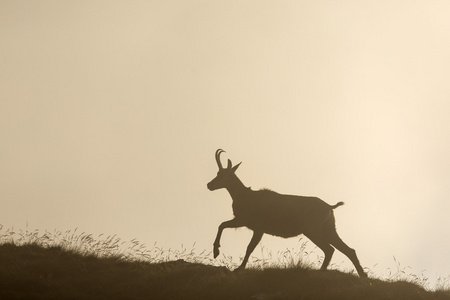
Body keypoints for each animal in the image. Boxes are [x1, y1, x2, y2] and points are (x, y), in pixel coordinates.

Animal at [206, 149, 368, 278]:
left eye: (222, 174)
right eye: (218, 173)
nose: (209, 185)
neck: (245, 196)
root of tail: (329, 206)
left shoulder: (255, 226)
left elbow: (247, 246)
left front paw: (231, 263)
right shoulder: (247, 223)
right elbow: (224, 226)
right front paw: (218, 253)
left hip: (312, 230)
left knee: (330, 249)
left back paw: (321, 272)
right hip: (328, 229)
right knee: (348, 250)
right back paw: (363, 275)